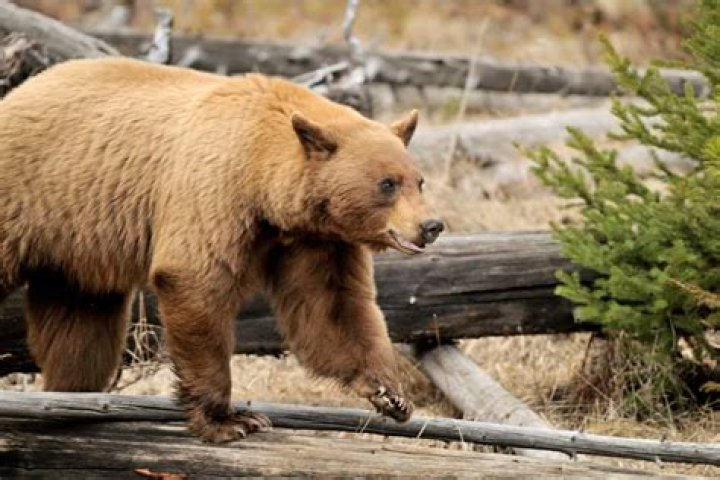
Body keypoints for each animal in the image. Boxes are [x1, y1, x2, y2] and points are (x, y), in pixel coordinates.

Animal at [0, 57, 444, 443]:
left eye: (418, 180)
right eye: (387, 184)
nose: (431, 226)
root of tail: (18, 92)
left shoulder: (316, 239)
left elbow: (332, 307)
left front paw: (390, 392)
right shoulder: (214, 191)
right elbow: (195, 281)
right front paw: (229, 420)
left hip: (76, 246)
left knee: (81, 325)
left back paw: (70, 396)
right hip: (28, 198)